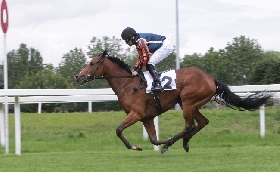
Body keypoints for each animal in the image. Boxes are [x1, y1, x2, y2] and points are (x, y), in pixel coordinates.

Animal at [74, 50, 272, 154]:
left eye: (92, 63)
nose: (78, 77)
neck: (128, 84)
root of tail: (211, 79)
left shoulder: (136, 113)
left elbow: (118, 130)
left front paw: (137, 146)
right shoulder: (146, 117)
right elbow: (153, 139)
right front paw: (154, 143)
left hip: (188, 101)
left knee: (189, 125)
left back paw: (173, 142)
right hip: (189, 104)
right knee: (202, 122)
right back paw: (184, 143)